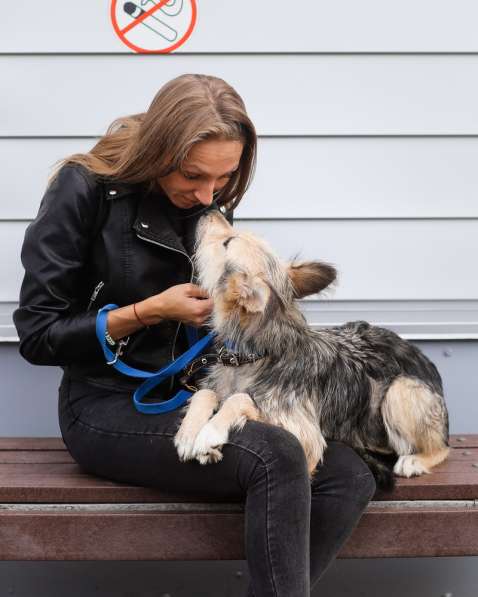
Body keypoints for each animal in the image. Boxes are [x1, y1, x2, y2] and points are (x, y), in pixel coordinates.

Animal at [174, 211, 450, 488]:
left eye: (227, 242)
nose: (209, 211)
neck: (253, 356)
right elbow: (205, 393)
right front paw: (189, 433)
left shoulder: (304, 435)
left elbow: (240, 398)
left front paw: (210, 432)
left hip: (400, 390)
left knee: (442, 448)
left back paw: (415, 460)